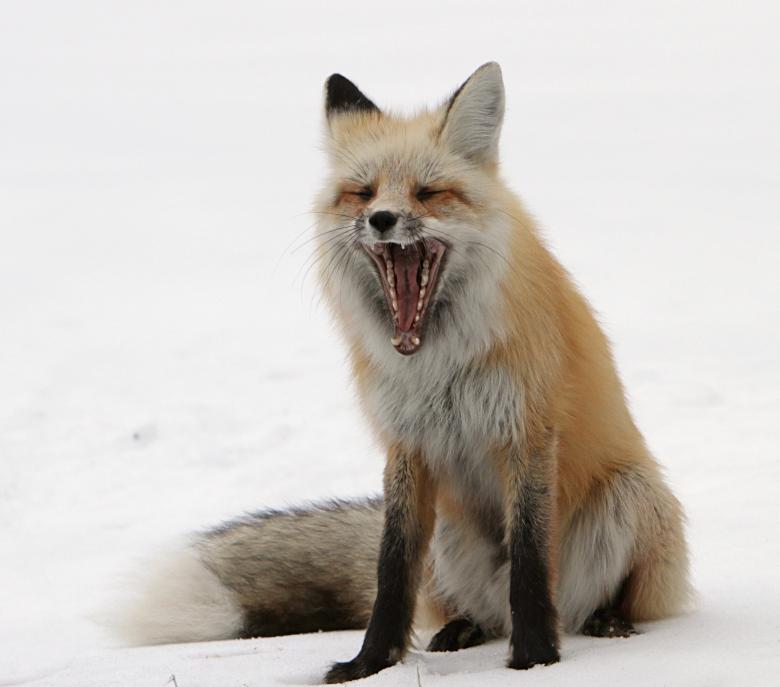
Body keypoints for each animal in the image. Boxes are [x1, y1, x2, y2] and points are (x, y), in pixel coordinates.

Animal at [113, 63, 691, 682]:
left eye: (428, 193)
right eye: (363, 193)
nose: (381, 219)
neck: (437, 366)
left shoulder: (526, 433)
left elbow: (531, 564)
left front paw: (536, 659)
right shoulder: (406, 444)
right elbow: (391, 571)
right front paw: (369, 664)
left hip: (630, 494)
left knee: (590, 598)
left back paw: (606, 619)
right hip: (449, 538)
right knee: (473, 608)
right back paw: (461, 628)